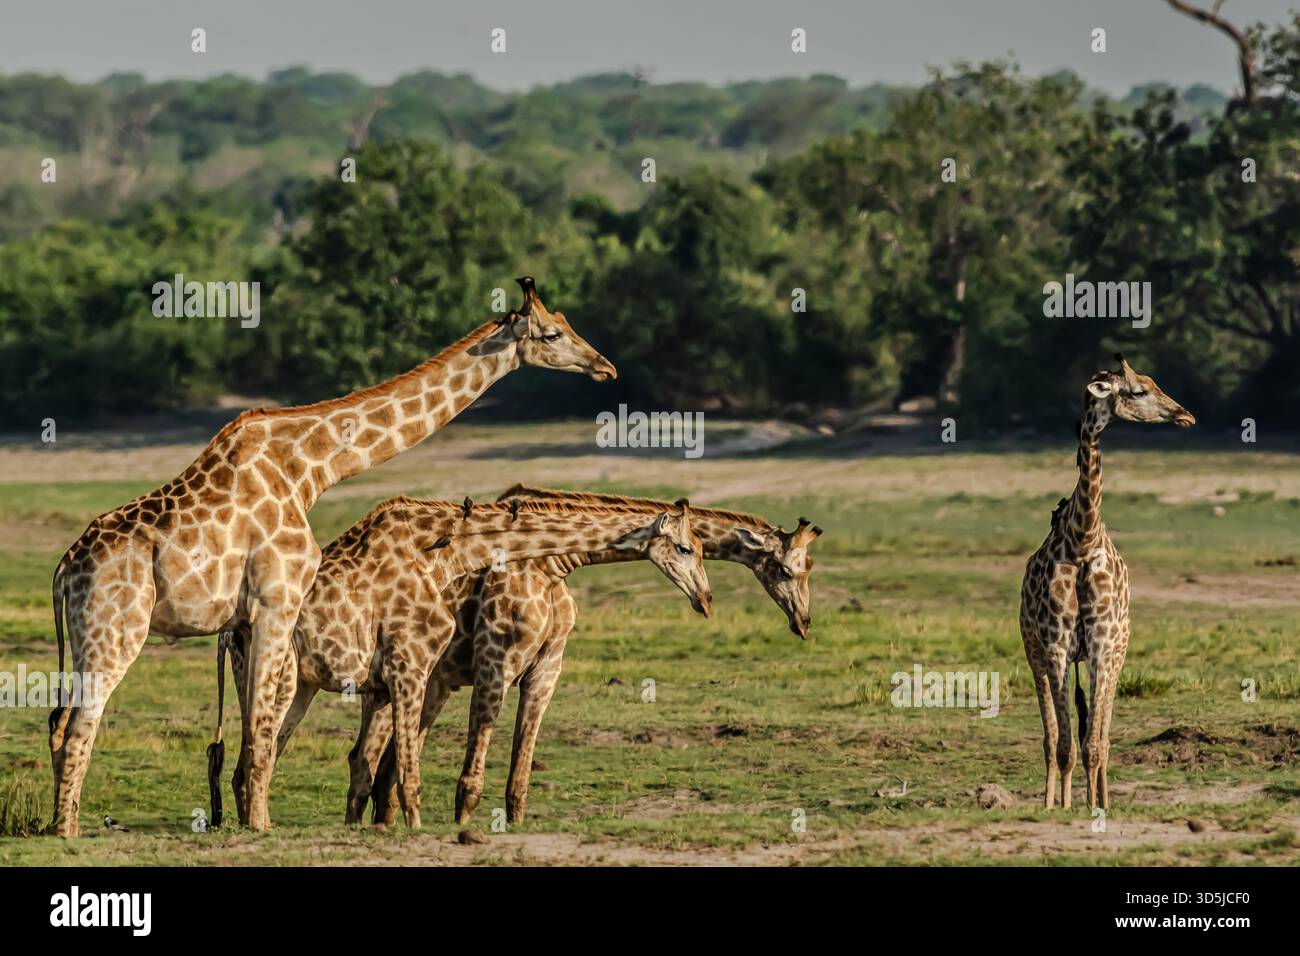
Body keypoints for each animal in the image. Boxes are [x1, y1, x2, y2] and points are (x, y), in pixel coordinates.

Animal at [46, 277, 615, 836]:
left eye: (566, 324)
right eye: (549, 334)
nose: (604, 366)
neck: (310, 469)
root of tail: (63, 572)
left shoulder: (251, 620)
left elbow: (259, 731)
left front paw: (253, 819)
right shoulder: (276, 603)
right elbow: (262, 732)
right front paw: (261, 827)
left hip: (85, 635)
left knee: (58, 723)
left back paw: (56, 823)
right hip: (115, 630)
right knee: (80, 725)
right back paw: (66, 830)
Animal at [213, 496, 712, 829]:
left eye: (705, 548)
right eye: (686, 548)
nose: (705, 599)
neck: (551, 569)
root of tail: (227, 627)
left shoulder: (544, 670)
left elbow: (518, 765)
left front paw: (513, 821)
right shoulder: (492, 665)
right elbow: (464, 768)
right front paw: (461, 825)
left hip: (309, 684)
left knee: (297, 755)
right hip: (293, 676)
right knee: (280, 749)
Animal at [358, 485, 822, 826]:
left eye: (809, 568)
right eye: (786, 569)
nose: (804, 622)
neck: (549, 568)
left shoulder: (545, 670)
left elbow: (519, 776)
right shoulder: (495, 665)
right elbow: (470, 777)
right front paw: (462, 830)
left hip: (433, 683)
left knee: (381, 769)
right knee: (369, 759)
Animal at [1019, 354, 1194, 811]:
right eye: (1138, 390)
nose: (1185, 415)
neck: (1081, 540)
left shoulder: (1101, 644)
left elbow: (1094, 744)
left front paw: (1096, 806)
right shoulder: (1056, 646)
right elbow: (1065, 745)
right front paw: (1060, 808)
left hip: (1118, 649)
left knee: (1101, 738)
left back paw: (1098, 799)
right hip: (1035, 650)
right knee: (1053, 741)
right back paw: (1058, 799)